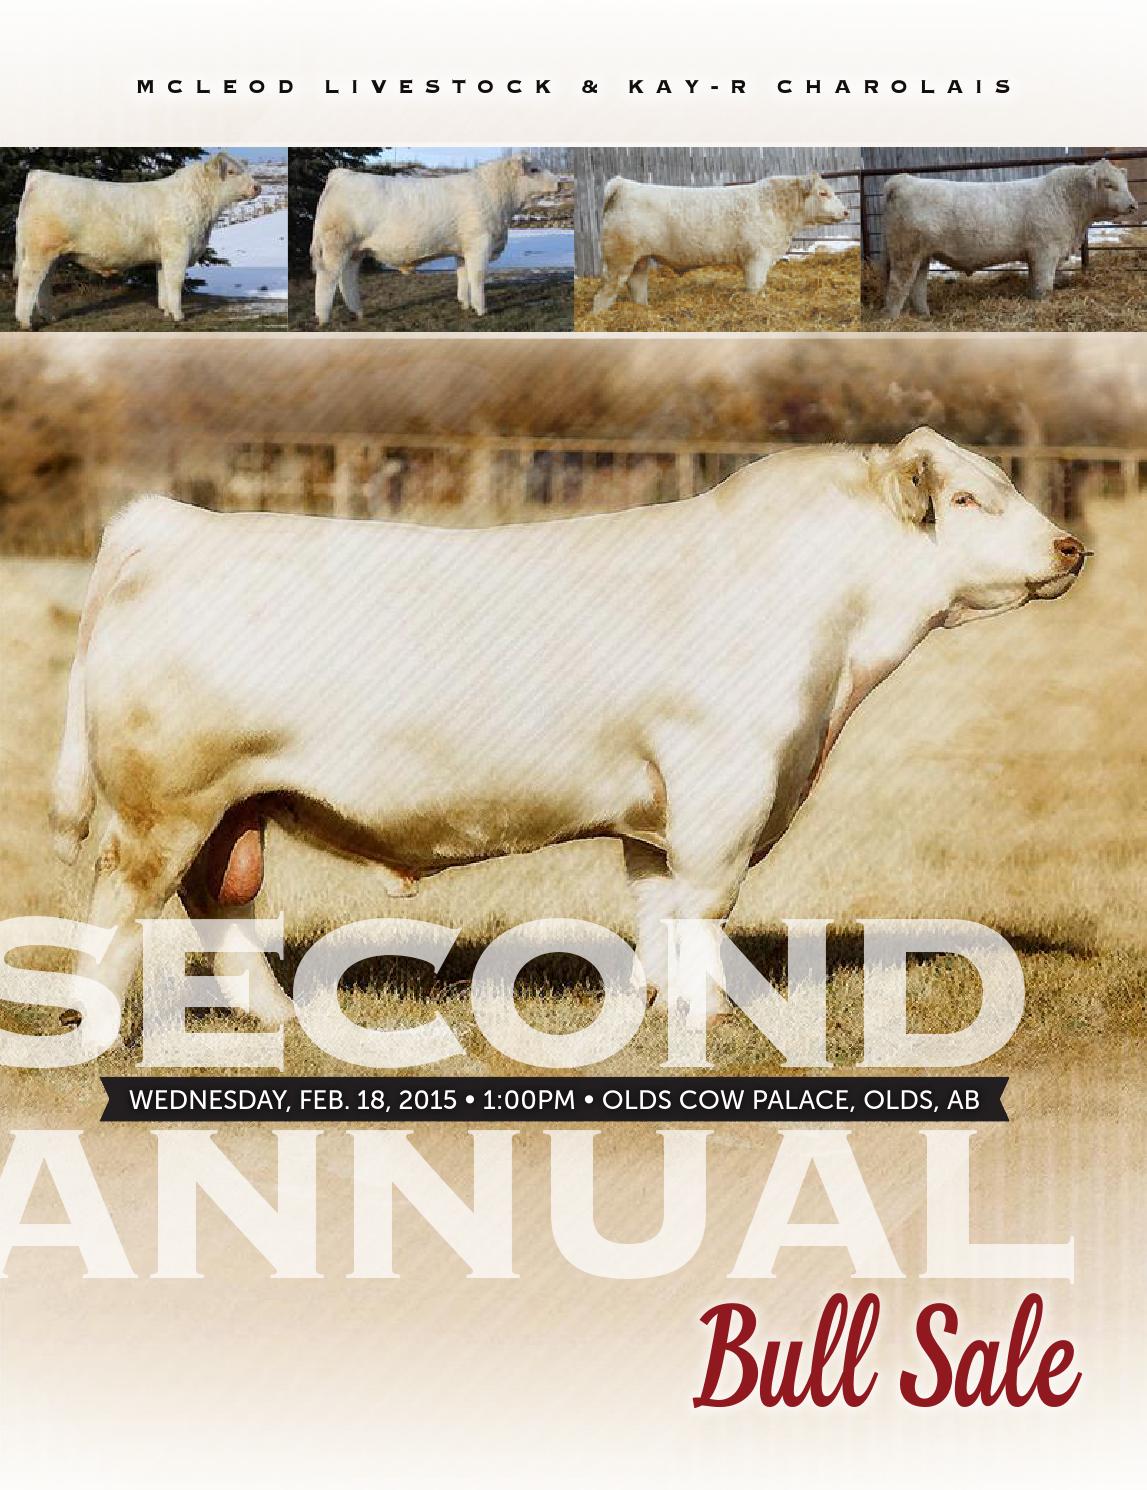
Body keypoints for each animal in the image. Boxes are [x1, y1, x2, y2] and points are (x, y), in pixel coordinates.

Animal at [12, 152, 259, 330]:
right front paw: (179, 316)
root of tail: (40, 176)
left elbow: (163, 282)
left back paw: (50, 317)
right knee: (29, 282)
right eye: (232, 171)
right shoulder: (178, 249)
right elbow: (175, 282)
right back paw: (25, 322)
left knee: (44, 283)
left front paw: (167, 311)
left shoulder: (163, 255)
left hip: (52, 255)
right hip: (39, 250)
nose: (257, 187)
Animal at [51, 428, 1087, 1029]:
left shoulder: (656, 813)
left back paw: (279, 1021)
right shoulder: (723, 784)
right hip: (161, 803)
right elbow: (705, 904)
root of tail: (176, 522)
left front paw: (655, 1008)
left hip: (229, 803)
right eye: (967, 499)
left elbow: (658, 909)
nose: (1070, 546)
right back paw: (96, 1026)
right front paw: (708, 1018)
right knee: (124, 903)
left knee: (218, 899)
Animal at [310, 155, 560, 325]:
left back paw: (358, 312)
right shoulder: (479, 242)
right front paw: (481, 310)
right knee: (327, 279)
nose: (560, 183)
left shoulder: (462, 248)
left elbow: (463, 276)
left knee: (347, 278)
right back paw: (323, 318)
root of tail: (342, 174)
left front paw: (465, 304)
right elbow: (478, 277)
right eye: (534, 169)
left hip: (355, 251)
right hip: (337, 245)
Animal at [590, 173, 849, 313]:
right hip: (618, 260)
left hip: (640, 260)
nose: (847, 212)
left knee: (637, 286)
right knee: (603, 296)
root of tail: (623, 185)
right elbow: (756, 287)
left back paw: (643, 309)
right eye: (823, 193)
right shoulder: (757, 258)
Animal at [882, 160, 1138, 318]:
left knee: (917, 287)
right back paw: (892, 320)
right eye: (1109, 184)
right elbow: (1045, 286)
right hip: (905, 253)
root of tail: (904, 180)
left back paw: (925, 316)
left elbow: (1035, 285)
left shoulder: (1034, 255)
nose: (1133, 205)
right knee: (898, 286)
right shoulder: (1045, 252)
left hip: (922, 255)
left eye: (1125, 183)